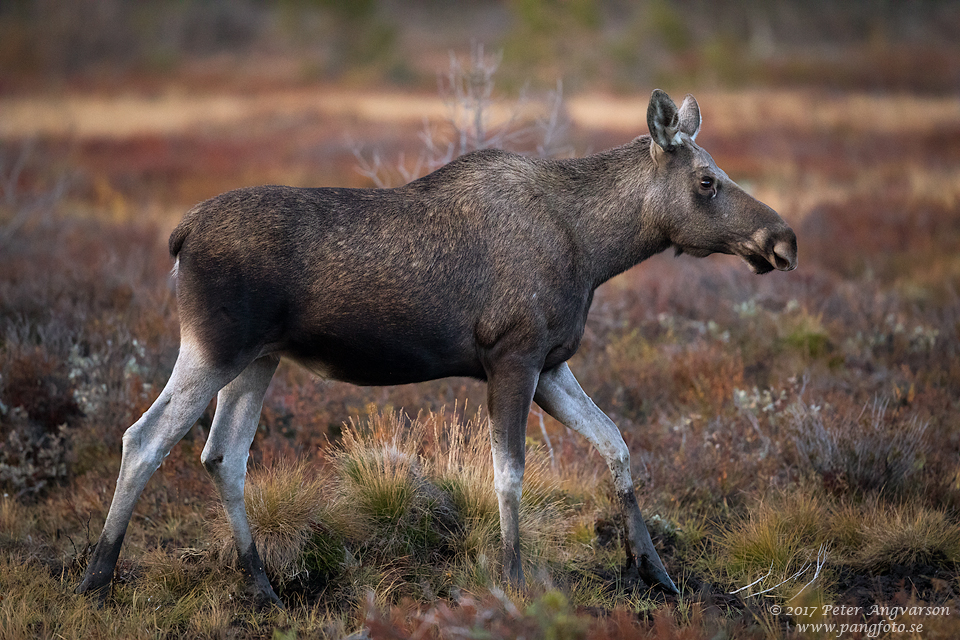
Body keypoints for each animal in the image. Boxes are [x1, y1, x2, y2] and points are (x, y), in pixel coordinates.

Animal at [79, 89, 796, 604]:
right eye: (706, 181)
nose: (783, 239)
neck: (598, 251)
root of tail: (179, 233)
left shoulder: (551, 364)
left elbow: (616, 445)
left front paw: (654, 571)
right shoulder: (512, 356)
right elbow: (511, 473)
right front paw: (512, 578)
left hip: (258, 359)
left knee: (223, 455)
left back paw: (261, 589)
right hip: (213, 348)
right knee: (143, 439)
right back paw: (96, 581)